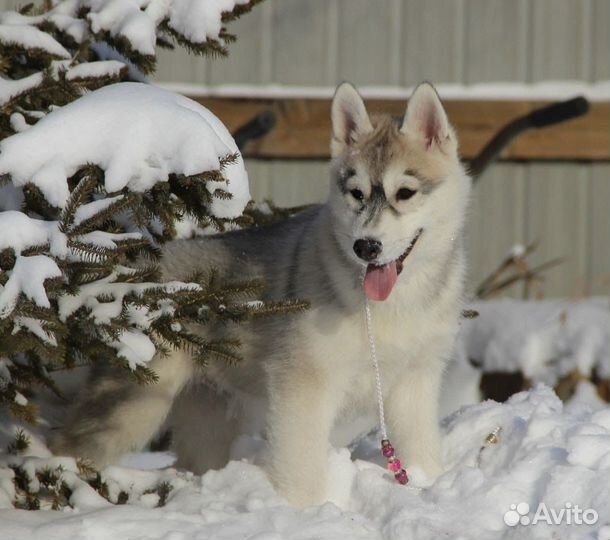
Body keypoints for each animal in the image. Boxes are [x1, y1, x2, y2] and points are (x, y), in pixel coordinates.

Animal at [52, 80, 470, 506]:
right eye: (356, 193)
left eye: (405, 192)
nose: (366, 247)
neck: (393, 304)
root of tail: (136, 269)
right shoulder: (304, 382)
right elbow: (301, 466)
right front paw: (305, 510)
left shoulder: (416, 381)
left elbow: (422, 449)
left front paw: (426, 484)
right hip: (136, 401)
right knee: (69, 444)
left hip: (209, 413)